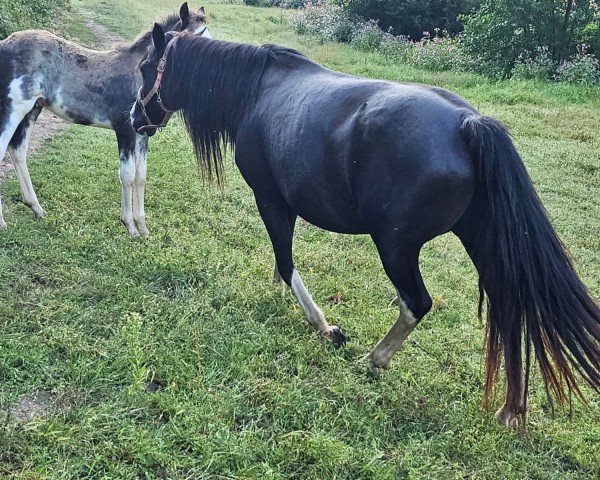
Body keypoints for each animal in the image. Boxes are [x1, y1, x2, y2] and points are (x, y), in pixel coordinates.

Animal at [0, 3, 211, 236]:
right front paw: (130, 227)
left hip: (32, 109)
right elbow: (127, 175)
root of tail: (4, 44)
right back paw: (3, 221)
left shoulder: (142, 134)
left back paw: (36, 208)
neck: (137, 75)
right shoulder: (125, 130)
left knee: (18, 150)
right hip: (13, 108)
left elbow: (141, 176)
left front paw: (143, 227)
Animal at [132, 26, 600, 430]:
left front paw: (324, 326)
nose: (136, 117)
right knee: (511, 309)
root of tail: (467, 124)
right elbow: (281, 258)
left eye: (145, 67)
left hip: (396, 247)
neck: (257, 92)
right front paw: (281, 295)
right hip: (480, 244)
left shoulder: (270, 199)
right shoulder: (285, 205)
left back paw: (377, 359)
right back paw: (511, 409)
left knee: (417, 303)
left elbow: (286, 260)